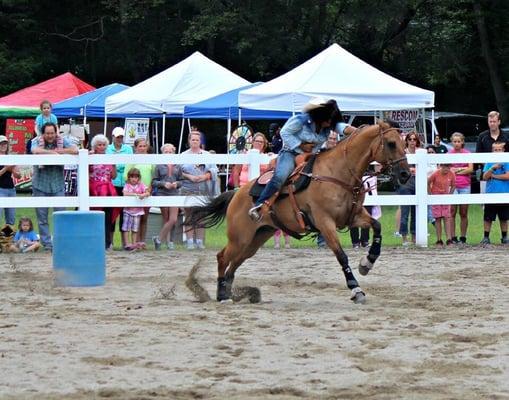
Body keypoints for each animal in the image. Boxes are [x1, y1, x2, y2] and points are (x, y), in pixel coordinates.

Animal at [186, 121, 408, 304]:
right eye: (390, 143)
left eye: (404, 143)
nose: (405, 174)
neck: (337, 172)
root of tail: (236, 193)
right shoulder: (325, 223)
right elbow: (342, 256)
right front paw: (356, 290)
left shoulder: (353, 217)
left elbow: (377, 227)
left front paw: (366, 263)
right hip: (240, 237)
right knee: (222, 258)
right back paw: (220, 295)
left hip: (256, 239)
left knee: (234, 264)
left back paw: (234, 293)